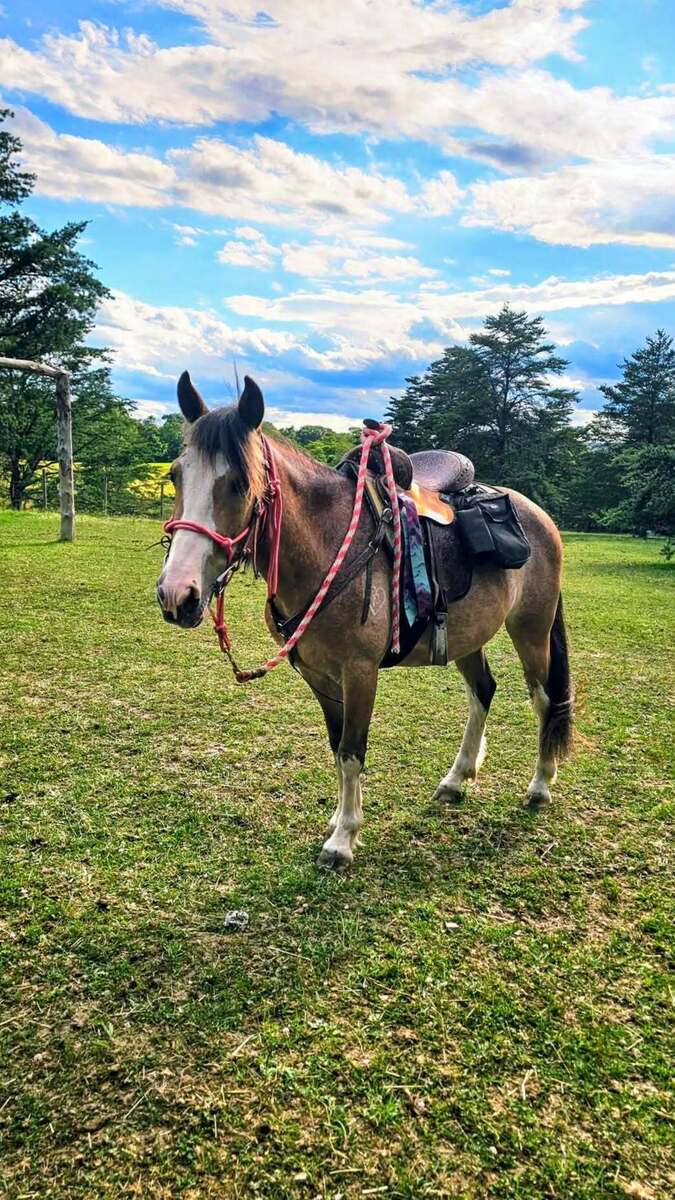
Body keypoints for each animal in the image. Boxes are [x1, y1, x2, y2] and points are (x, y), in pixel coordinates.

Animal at [156, 372, 573, 870]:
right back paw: (456, 779)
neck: (328, 546)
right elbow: (337, 749)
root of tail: (540, 516)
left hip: (532, 630)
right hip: (468, 637)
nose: (177, 594)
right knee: (482, 692)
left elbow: (352, 751)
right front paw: (339, 821)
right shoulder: (319, 675)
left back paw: (540, 785)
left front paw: (343, 841)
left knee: (546, 701)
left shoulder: (359, 673)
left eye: (240, 483)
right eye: (176, 475)